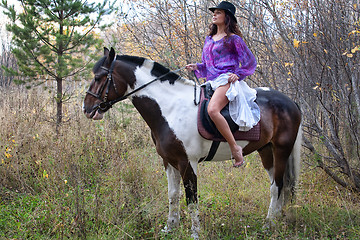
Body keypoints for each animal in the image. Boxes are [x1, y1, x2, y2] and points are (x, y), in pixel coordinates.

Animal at [83, 47, 302, 239]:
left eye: (98, 77)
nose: (87, 108)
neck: (170, 108)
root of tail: (290, 102)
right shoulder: (169, 162)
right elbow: (173, 194)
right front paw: (170, 227)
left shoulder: (188, 163)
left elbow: (191, 199)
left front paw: (195, 233)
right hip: (266, 150)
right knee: (278, 185)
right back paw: (277, 219)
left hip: (281, 150)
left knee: (278, 185)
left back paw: (269, 224)